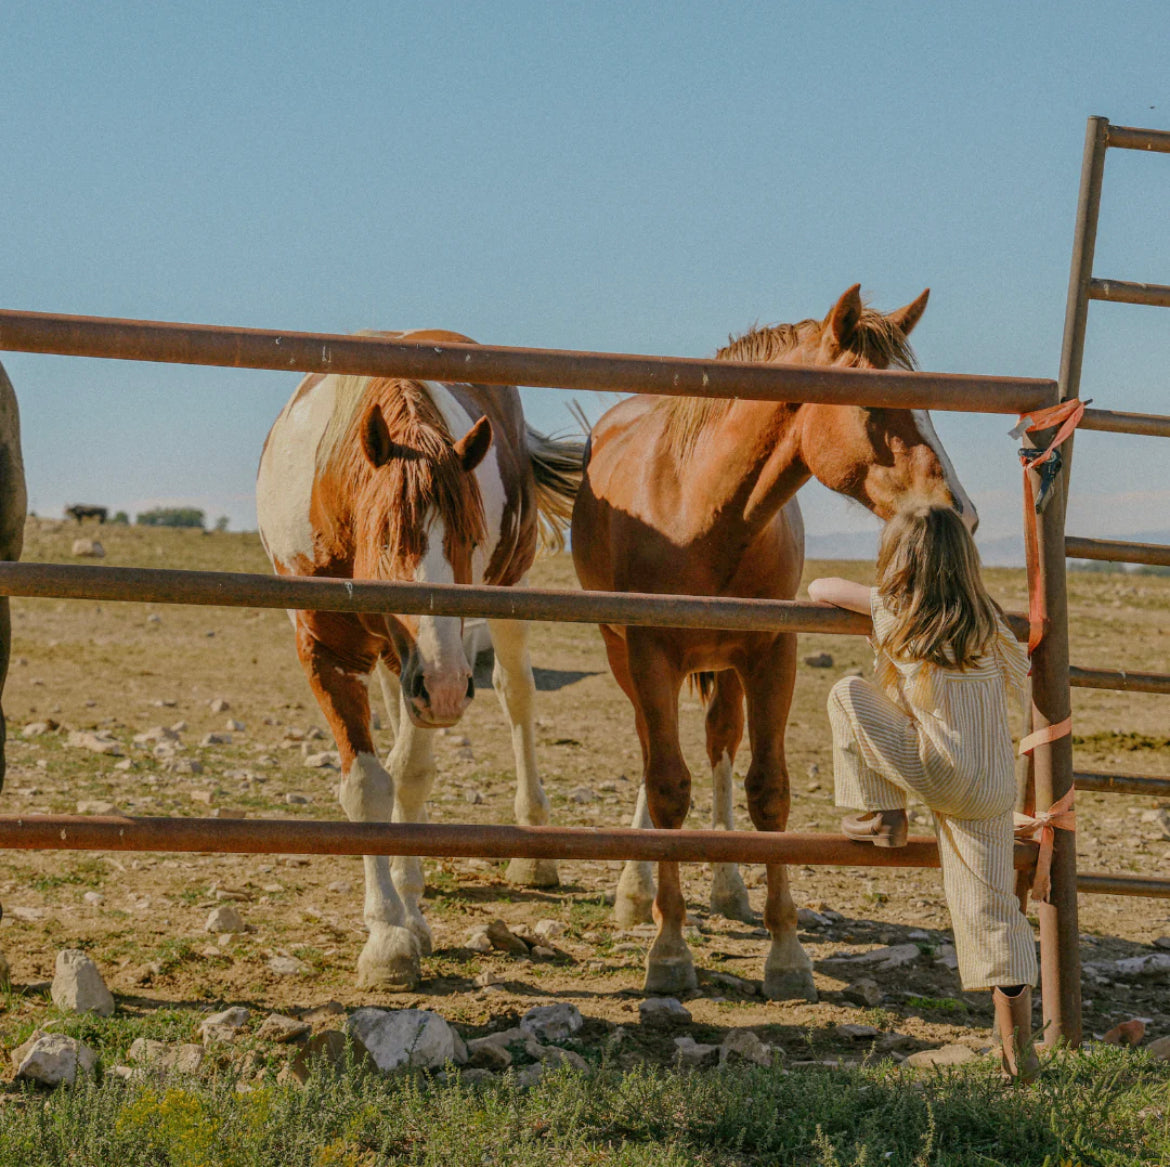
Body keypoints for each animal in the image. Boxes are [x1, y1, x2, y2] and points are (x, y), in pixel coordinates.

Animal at [258, 332, 582, 987]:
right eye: (387, 539)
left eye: (468, 539)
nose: (450, 687)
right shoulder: (327, 653)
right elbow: (369, 785)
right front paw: (389, 932)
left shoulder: (434, 670)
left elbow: (407, 775)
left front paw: (400, 919)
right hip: (400, 664)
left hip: (504, 601)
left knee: (516, 694)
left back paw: (534, 844)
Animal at [570, 284, 973, 1001]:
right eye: (870, 405)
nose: (961, 511)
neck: (700, 511)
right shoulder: (649, 653)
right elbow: (667, 787)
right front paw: (668, 949)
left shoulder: (770, 653)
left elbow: (768, 790)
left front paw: (786, 951)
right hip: (624, 657)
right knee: (652, 751)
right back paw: (635, 888)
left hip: (726, 666)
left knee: (720, 744)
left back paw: (729, 883)